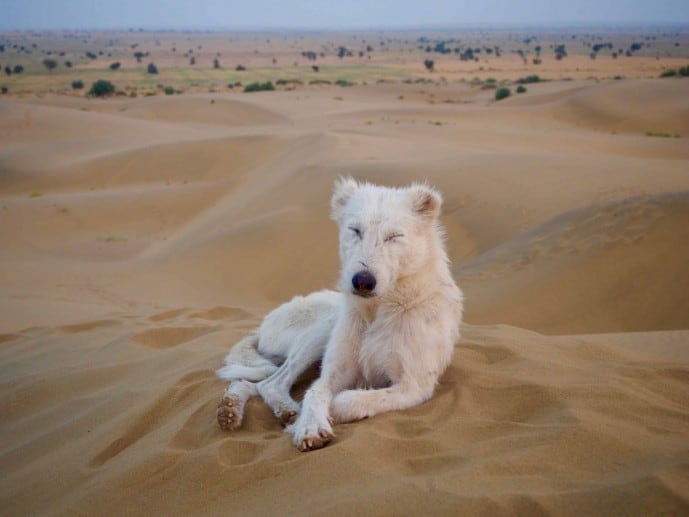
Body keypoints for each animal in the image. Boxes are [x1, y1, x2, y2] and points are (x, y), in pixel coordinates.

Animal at [215, 178, 462, 452]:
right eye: (355, 230)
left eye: (394, 236)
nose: (362, 281)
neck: (377, 312)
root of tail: (261, 327)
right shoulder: (334, 371)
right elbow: (314, 392)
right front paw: (309, 426)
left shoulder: (414, 385)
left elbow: (351, 399)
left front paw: (319, 416)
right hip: (321, 330)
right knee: (271, 383)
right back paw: (272, 409)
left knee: (254, 384)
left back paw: (237, 408)